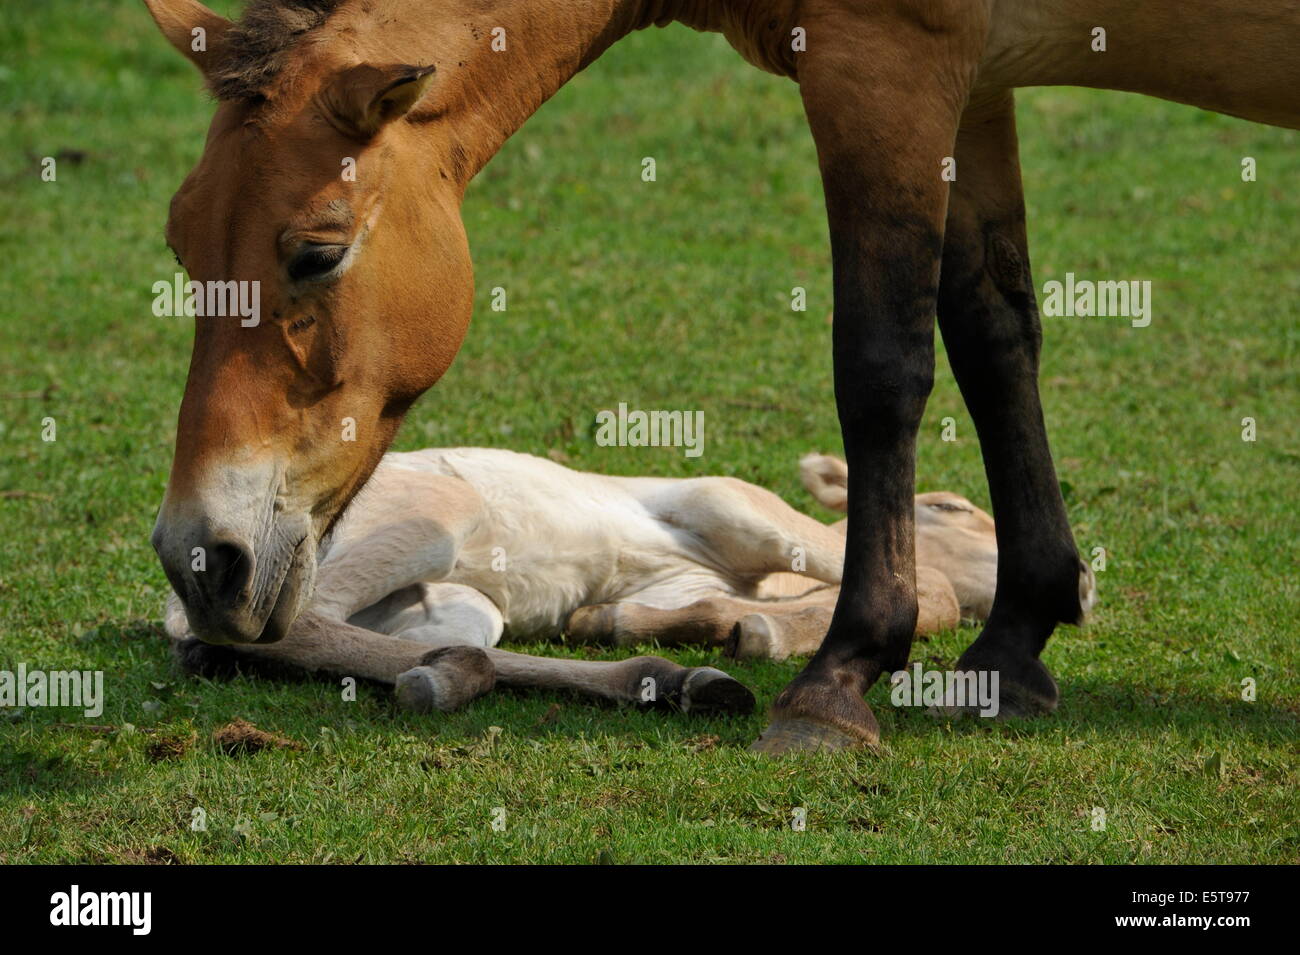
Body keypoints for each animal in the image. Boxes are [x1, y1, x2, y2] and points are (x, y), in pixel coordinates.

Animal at [167, 448, 1000, 714]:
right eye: (953, 506)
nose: (1080, 584)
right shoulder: (725, 499)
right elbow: (925, 583)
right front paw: (757, 631)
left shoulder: (671, 584)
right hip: (434, 511)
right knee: (294, 623)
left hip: (456, 605)